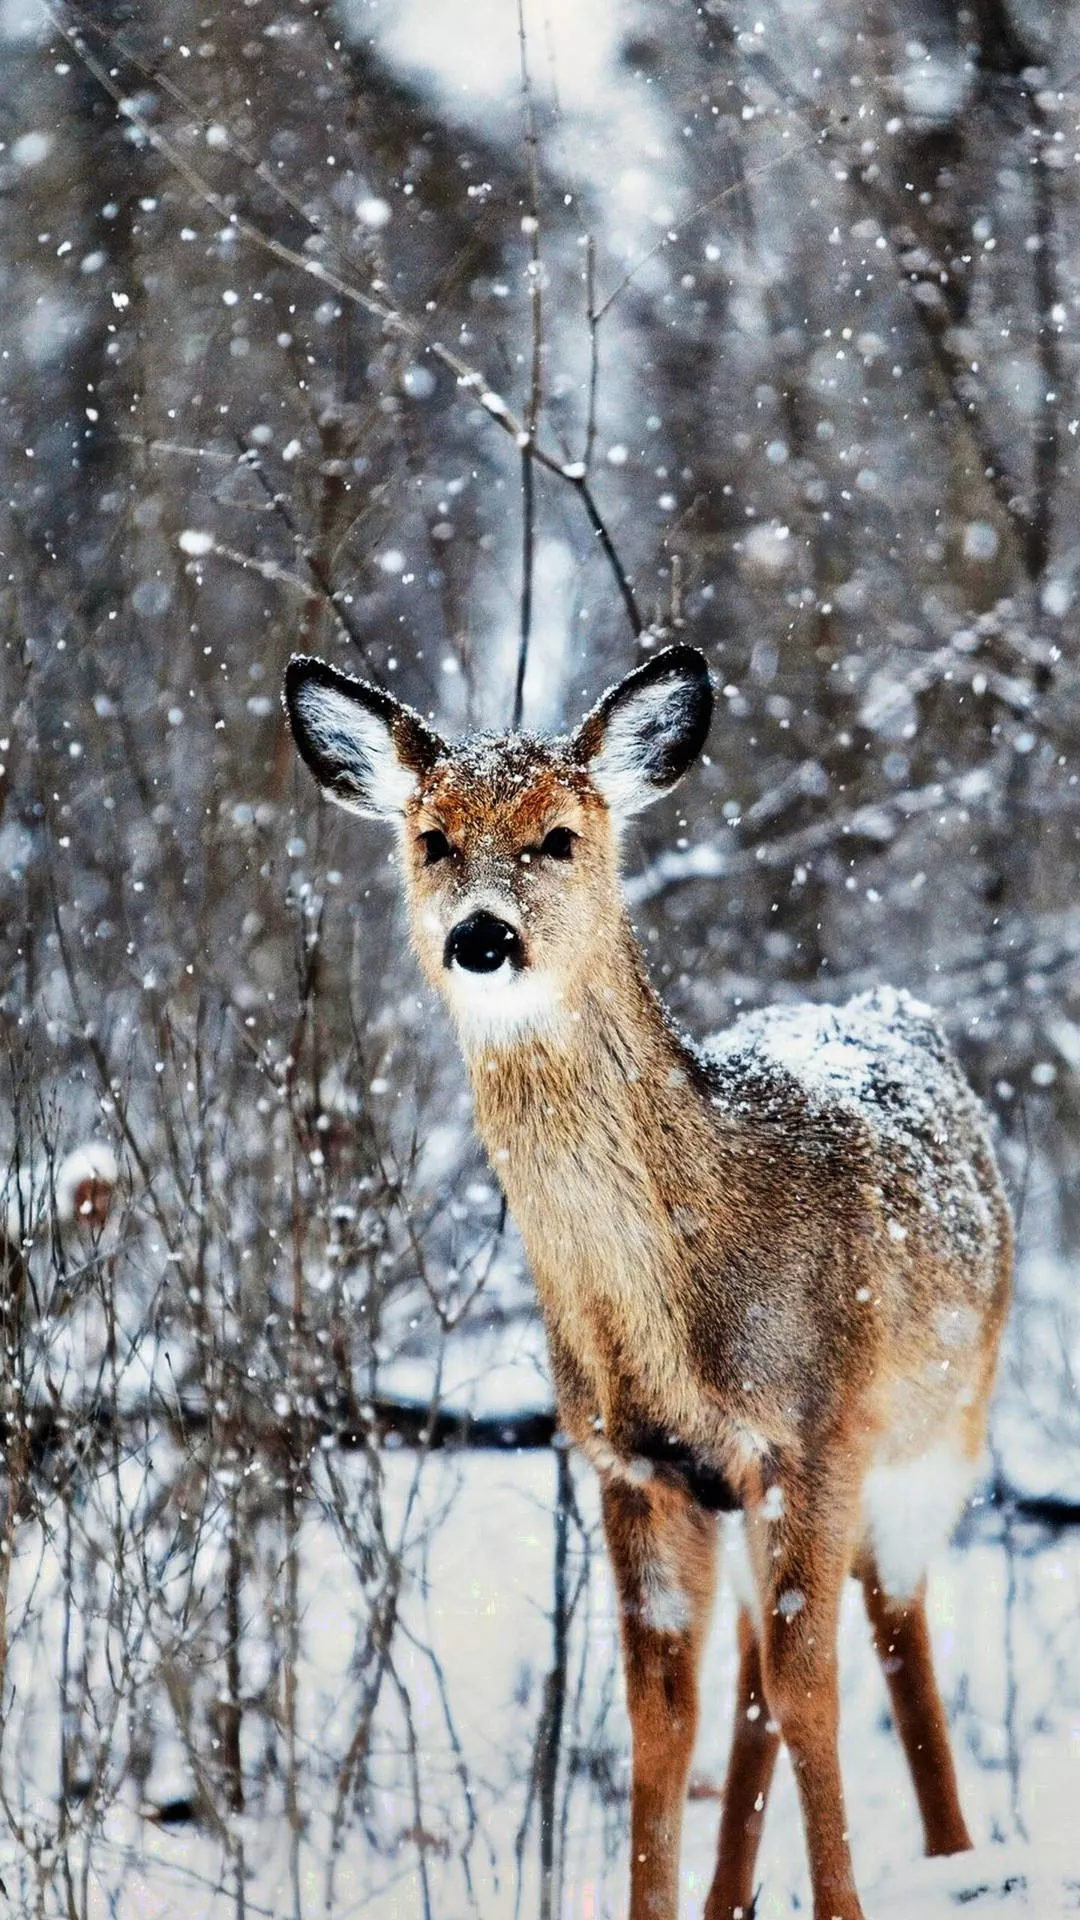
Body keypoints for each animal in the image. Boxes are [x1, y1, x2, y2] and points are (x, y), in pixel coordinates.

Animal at [282, 642, 1012, 1920]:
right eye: (432, 838)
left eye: (560, 836)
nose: (481, 936)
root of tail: (894, 1007)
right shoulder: (633, 1463)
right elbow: (661, 1716)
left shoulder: (815, 1430)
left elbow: (814, 1683)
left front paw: (841, 1906)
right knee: (757, 1675)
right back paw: (737, 1896)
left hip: (942, 1426)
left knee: (893, 1623)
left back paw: (956, 1853)